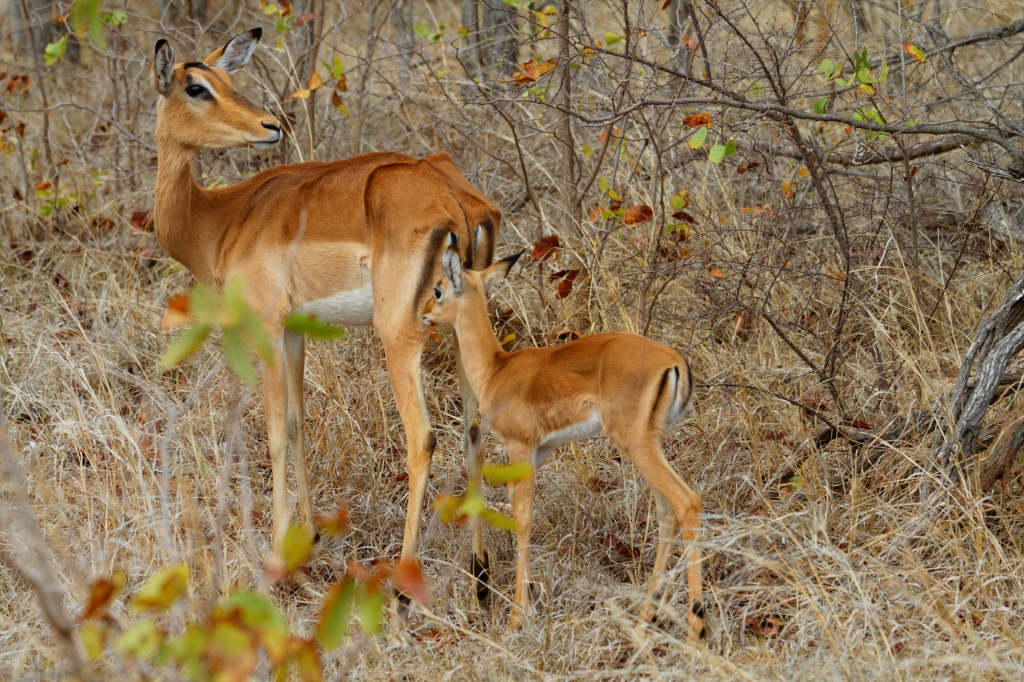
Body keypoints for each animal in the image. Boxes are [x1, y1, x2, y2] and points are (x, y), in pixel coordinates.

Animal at [151, 28, 502, 587]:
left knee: (423, 437)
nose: (270, 126)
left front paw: (278, 561)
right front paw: (309, 540)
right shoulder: (295, 330)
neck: (219, 221)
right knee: (473, 429)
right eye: (199, 86)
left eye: (214, 82)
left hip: (398, 333)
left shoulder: (268, 327)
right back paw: (480, 574)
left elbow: (274, 433)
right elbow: (298, 423)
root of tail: (457, 200)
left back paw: (404, 581)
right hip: (463, 325)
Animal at [421, 242, 705, 641]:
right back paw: (642, 621)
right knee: (667, 513)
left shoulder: (519, 447)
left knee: (687, 503)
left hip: (635, 444)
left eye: (439, 289)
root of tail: (675, 359)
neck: (496, 369)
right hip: (650, 443)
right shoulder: (539, 454)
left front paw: (515, 619)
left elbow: (523, 520)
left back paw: (695, 630)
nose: (424, 314)